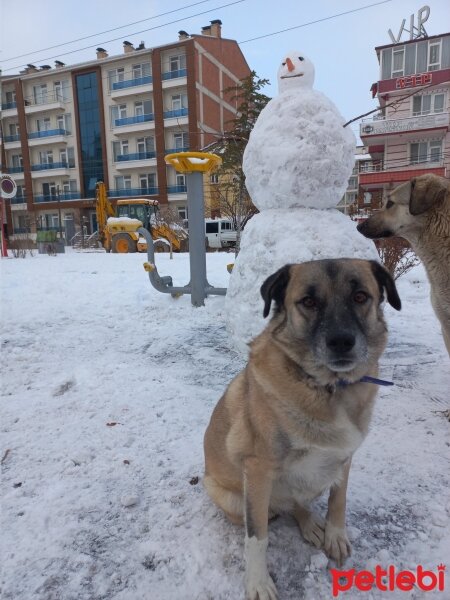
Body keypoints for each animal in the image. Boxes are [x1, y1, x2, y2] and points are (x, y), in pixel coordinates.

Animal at [204, 258, 400, 600]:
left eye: (361, 296)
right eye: (308, 302)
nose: (341, 342)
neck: (328, 388)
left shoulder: (344, 457)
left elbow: (338, 500)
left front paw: (335, 535)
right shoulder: (257, 470)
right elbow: (257, 537)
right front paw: (258, 582)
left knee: (297, 502)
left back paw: (310, 523)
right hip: (233, 497)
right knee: (273, 510)